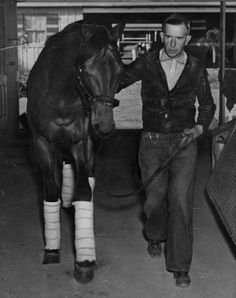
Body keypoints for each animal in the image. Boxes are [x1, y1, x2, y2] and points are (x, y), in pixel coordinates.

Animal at [26, 20, 124, 282]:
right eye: (84, 69)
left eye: (120, 71)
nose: (104, 125)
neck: (62, 95)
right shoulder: (42, 143)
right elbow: (51, 192)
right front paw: (52, 250)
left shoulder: (82, 142)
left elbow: (83, 191)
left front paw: (85, 260)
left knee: (87, 176)